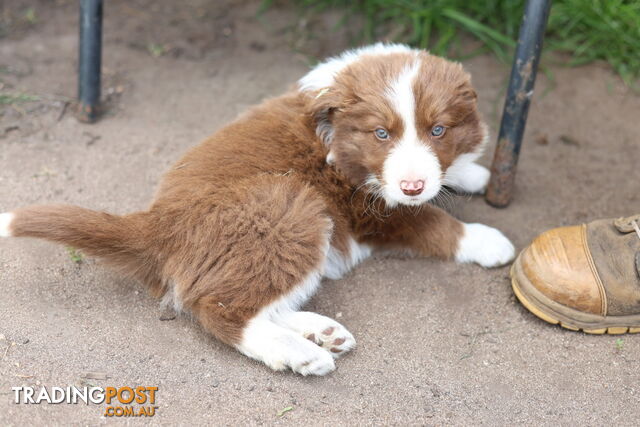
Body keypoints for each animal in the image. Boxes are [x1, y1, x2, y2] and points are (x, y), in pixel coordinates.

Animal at [0, 45, 512, 376]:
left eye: (438, 130)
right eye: (381, 134)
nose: (412, 184)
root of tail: (156, 224)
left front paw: (471, 173)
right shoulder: (373, 209)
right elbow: (433, 221)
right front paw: (488, 241)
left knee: (242, 295)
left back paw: (320, 331)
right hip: (289, 210)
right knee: (217, 307)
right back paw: (301, 354)